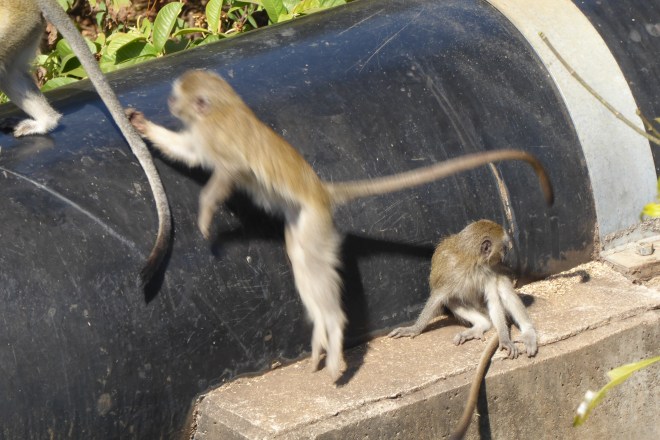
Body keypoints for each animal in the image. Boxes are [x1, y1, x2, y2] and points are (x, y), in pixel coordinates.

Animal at [125, 70, 552, 381]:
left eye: (177, 96)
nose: (169, 102)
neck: (220, 108)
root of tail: (319, 188)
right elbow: (189, 152)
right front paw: (142, 125)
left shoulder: (215, 136)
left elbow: (225, 169)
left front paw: (205, 211)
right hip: (303, 222)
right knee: (305, 267)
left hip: (314, 222)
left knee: (315, 270)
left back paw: (331, 333)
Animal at [388, 220, 538, 438]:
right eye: (504, 247)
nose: (505, 257)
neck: (472, 262)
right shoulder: (451, 273)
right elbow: (438, 298)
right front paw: (414, 329)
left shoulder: (488, 272)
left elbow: (495, 298)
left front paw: (504, 338)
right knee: (455, 300)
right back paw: (481, 326)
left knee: (502, 288)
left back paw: (527, 332)